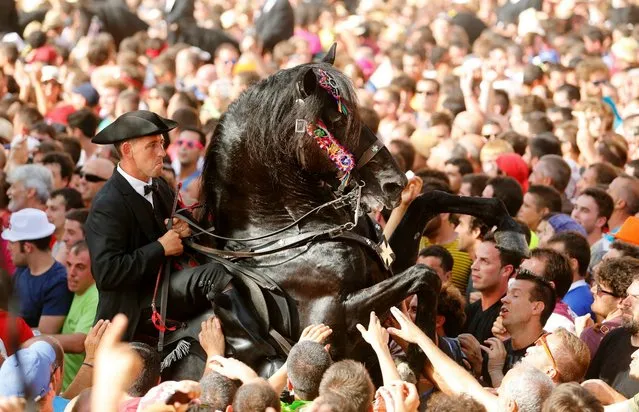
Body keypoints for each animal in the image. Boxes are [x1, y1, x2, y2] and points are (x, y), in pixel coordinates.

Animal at [161, 45, 528, 380]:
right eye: (337, 118)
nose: (394, 184)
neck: (285, 232)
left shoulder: (389, 264)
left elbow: (431, 202)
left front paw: (510, 231)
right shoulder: (332, 319)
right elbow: (426, 275)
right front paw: (418, 352)